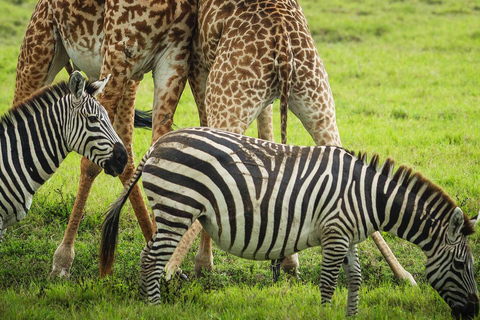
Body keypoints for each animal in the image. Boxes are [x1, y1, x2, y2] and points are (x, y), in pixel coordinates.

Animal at [13, 0, 197, 278]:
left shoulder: (174, 57)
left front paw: (164, 264)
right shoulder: (119, 48)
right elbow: (90, 163)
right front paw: (63, 260)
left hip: (126, 77)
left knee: (127, 150)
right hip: (40, 46)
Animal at [99, 127, 478, 318]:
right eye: (461, 265)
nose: (475, 311)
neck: (368, 197)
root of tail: (159, 143)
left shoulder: (348, 235)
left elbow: (354, 279)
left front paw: (350, 316)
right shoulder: (335, 233)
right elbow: (328, 284)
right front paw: (325, 315)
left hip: (173, 210)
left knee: (149, 258)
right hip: (177, 208)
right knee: (152, 259)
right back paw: (154, 309)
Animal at [159, 0, 414, 284]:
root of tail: (282, 41)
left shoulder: (197, 65)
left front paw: (204, 266)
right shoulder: (266, 100)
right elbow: (266, 141)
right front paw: (288, 259)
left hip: (229, 94)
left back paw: (171, 268)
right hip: (318, 101)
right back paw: (403, 275)